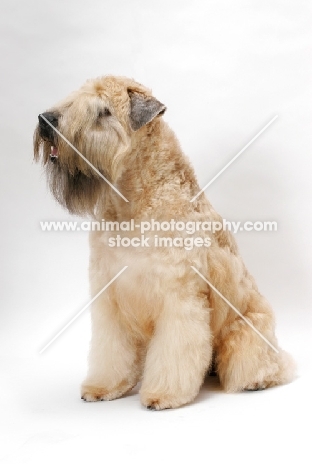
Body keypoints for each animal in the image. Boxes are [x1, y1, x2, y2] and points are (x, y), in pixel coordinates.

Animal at [34, 75, 294, 408]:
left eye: (103, 111)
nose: (45, 120)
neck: (132, 202)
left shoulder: (178, 297)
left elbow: (177, 350)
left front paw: (164, 394)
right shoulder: (109, 295)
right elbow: (111, 350)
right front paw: (105, 386)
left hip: (248, 332)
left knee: (264, 362)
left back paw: (257, 380)